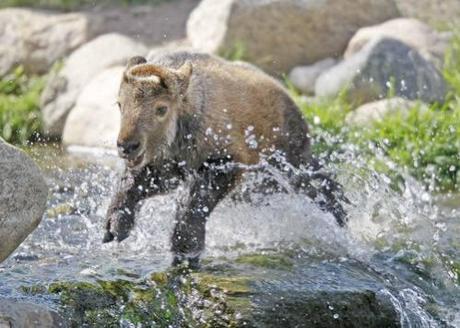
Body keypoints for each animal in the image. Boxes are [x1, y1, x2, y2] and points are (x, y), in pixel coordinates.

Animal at [104, 52, 346, 266]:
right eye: (119, 103)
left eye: (161, 108)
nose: (127, 146)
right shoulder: (166, 169)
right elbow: (133, 186)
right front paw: (115, 225)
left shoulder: (226, 163)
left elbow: (196, 203)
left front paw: (186, 245)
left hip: (291, 161)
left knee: (322, 186)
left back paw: (340, 223)